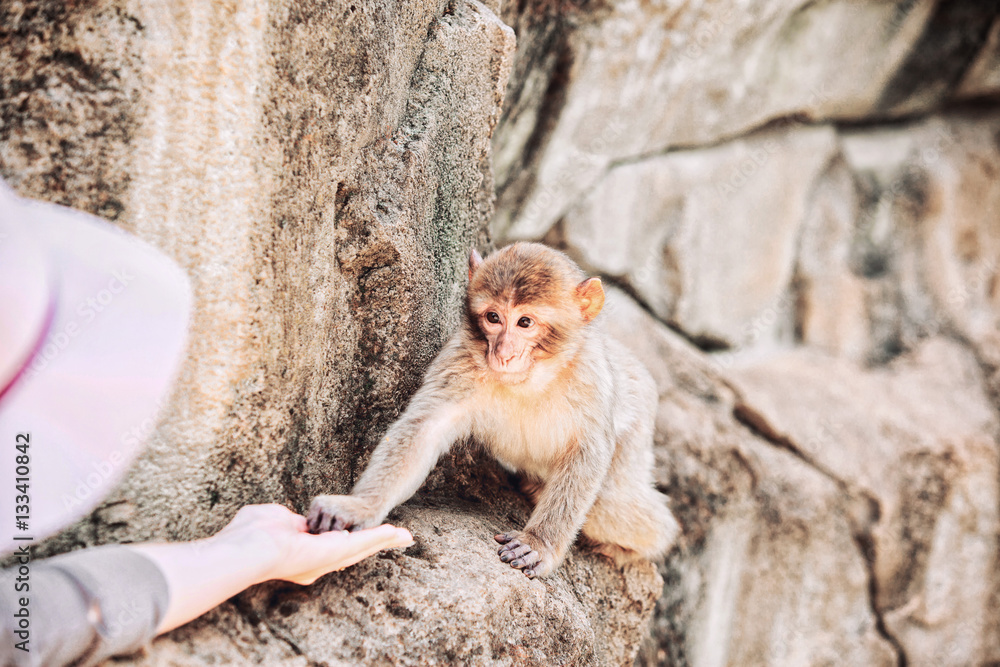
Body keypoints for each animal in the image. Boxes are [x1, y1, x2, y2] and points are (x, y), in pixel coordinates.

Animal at [307, 242, 679, 578]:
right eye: (493, 318)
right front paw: (358, 508)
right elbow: (424, 429)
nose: (503, 353)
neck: (530, 379)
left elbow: (587, 453)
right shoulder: (460, 359)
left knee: (624, 515)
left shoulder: (590, 378)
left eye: (525, 322)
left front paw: (539, 543)